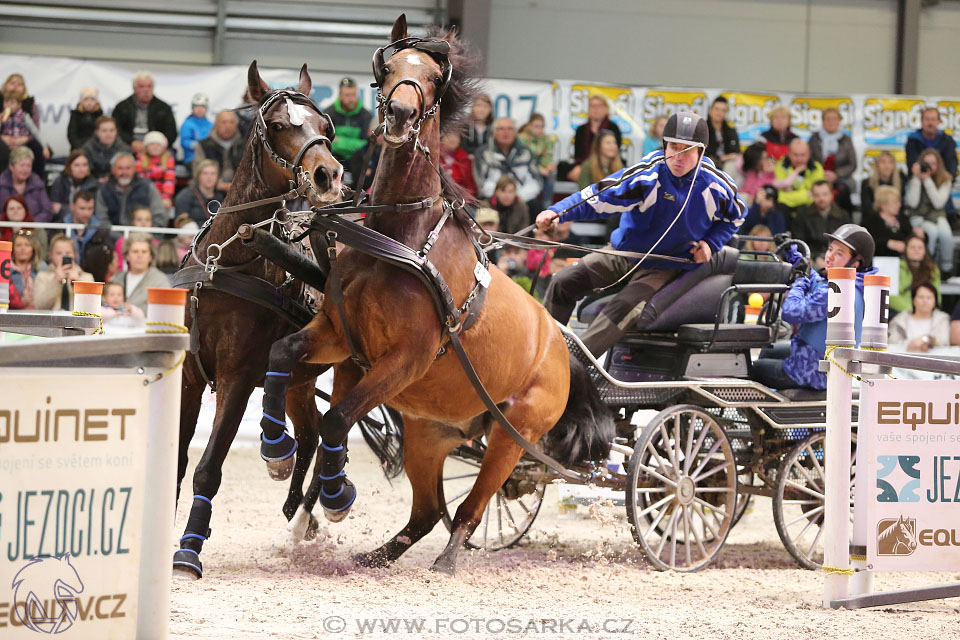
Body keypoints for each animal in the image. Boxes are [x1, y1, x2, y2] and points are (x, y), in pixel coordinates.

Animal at [172, 63, 344, 580]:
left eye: (325, 126)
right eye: (280, 125)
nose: (329, 174)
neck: (233, 260)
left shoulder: (238, 375)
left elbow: (208, 466)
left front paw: (188, 549)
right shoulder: (191, 375)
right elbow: (178, 458)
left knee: (332, 431)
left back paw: (309, 508)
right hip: (299, 380)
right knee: (310, 432)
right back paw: (296, 506)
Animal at [258, 15, 612, 576]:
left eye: (432, 76)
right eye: (390, 69)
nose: (401, 112)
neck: (400, 240)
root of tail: (561, 344)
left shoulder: (405, 358)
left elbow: (337, 417)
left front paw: (334, 497)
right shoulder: (339, 334)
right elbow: (282, 352)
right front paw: (277, 451)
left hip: (512, 437)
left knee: (471, 507)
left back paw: (447, 561)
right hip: (430, 433)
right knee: (426, 511)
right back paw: (376, 556)